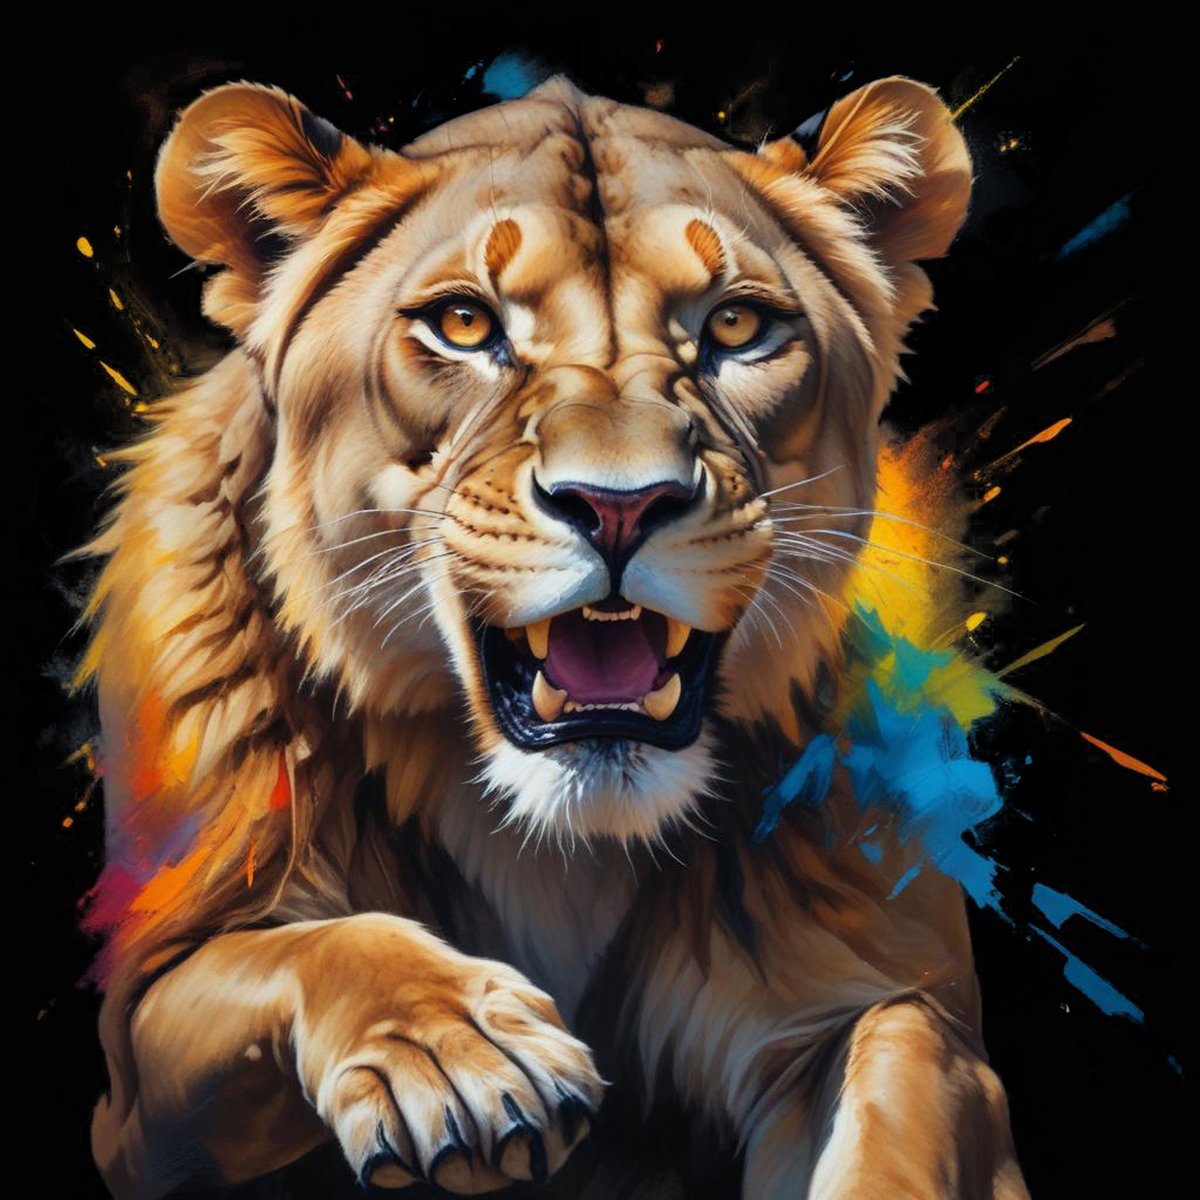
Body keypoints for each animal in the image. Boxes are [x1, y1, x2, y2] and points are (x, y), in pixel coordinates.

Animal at [72, 71, 1030, 1199]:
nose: (620, 505)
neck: (561, 848)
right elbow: (300, 948)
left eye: (738, 324)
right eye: (462, 322)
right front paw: (459, 1053)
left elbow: (896, 1080)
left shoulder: (876, 1000)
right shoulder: (138, 1069)